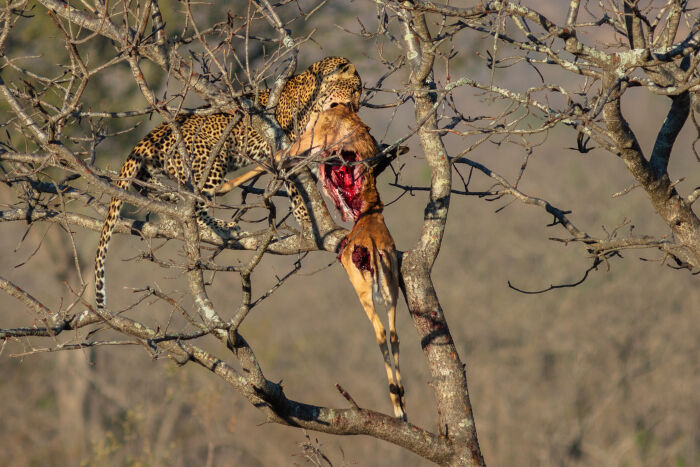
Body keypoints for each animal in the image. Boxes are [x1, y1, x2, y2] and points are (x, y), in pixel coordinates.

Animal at [94, 58, 360, 312]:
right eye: (355, 89)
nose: (357, 107)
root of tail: (150, 136)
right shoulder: (286, 148)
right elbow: (297, 188)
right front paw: (305, 217)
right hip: (211, 160)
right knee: (197, 208)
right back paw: (223, 225)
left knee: (156, 188)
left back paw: (173, 201)